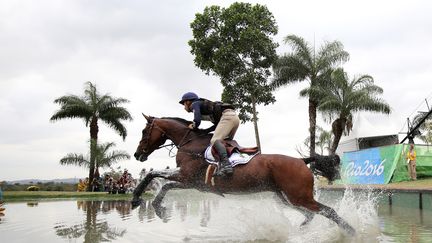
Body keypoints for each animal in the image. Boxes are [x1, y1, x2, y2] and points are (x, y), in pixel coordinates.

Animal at [132, 116, 354, 235]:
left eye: (144, 131)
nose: (137, 154)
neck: (190, 143)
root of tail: (302, 160)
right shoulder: (191, 183)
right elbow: (163, 184)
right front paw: (157, 207)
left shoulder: (186, 176)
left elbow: (153, 175)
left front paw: (138, 199)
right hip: (285, 198)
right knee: (310, 214)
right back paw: (298, 230)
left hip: (299, 196)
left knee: (328, 211)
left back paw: (351, 231)